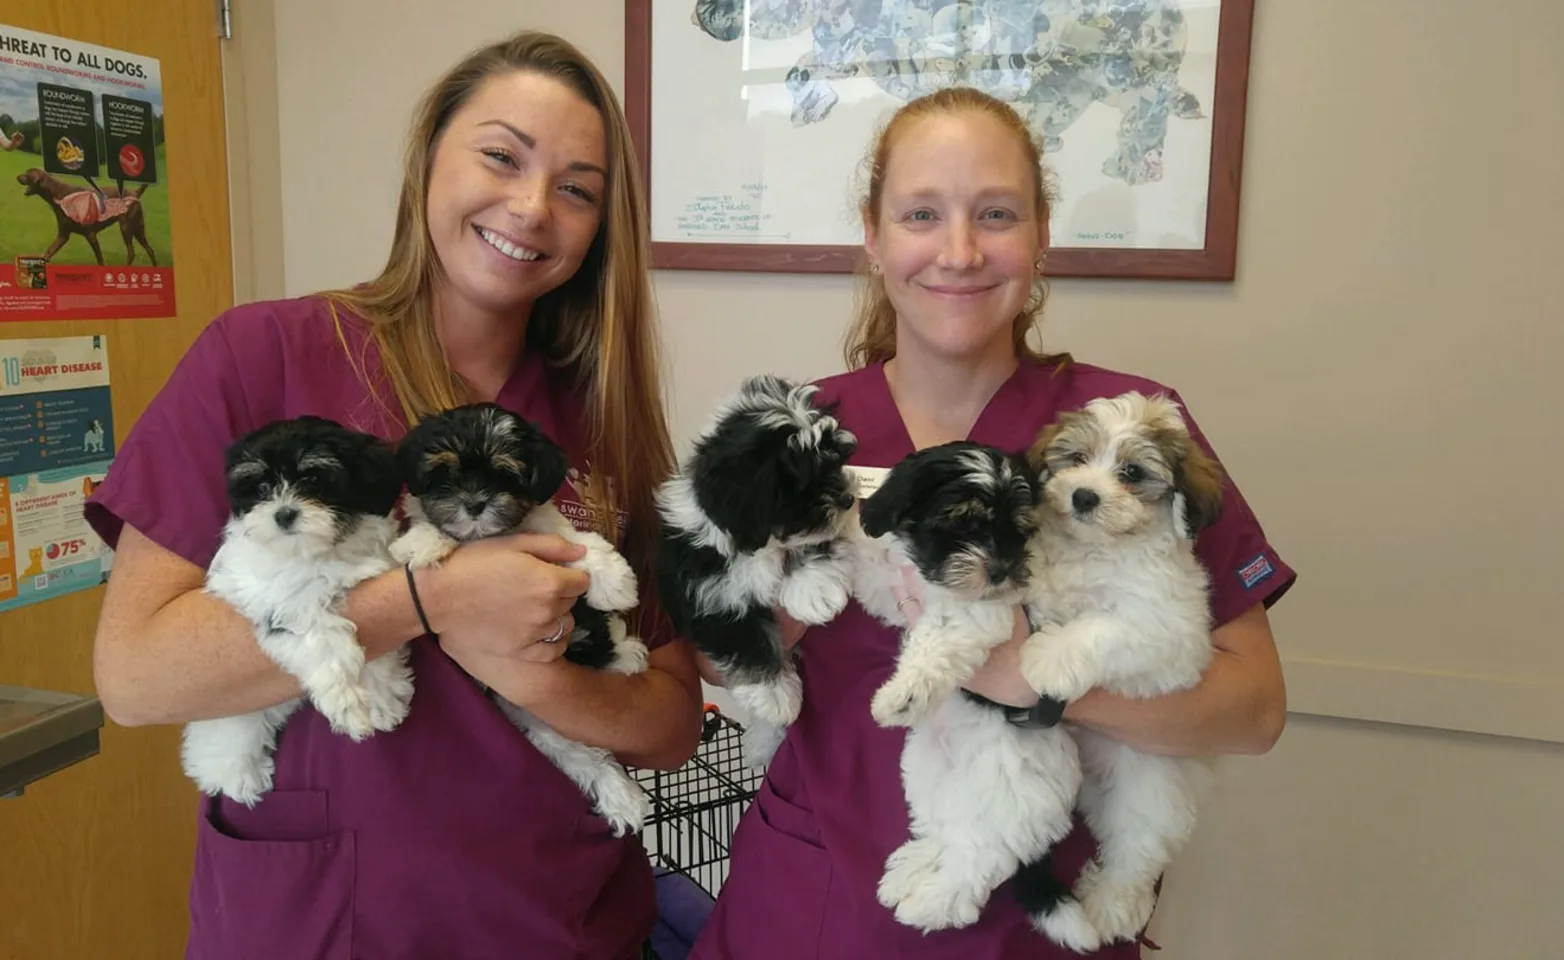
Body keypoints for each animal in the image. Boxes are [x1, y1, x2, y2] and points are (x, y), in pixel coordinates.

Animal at [180, 419, 412, 806]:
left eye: (314, 479)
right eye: (261, 487)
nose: (284, 513)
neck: (321, 552)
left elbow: (381, 649)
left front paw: (383, 699)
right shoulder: (283, 606)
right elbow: (324, 641)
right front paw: (348, 707)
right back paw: (235, 775)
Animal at [397, 403, 653, 838]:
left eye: (505, 474)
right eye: (446, 474)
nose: (474, 504)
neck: (490, 537)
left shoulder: (550, 533)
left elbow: (582, 545)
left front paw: (615, 583)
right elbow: (428, 529)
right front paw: (422, 544)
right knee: (585, 757)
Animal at [653, 376, 863, 766]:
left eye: (835, 463)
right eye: (803, 483)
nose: (847, 499)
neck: (757, 545)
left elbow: (817, 541)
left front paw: (814, 593)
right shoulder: (708, 596)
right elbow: (746, 642)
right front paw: (775, 695)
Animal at [850, 440, 1094, 950]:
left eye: (1019, 530)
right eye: (965, 523)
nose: (1000, 571)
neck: (938, 580)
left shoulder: (984, 615)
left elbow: (938, 640)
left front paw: (901, 696)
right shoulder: (894, 590)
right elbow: (870, 568)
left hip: (1010, 808)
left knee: (978, 865)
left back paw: (932, 903)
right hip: (928, 772)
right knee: (945, 830)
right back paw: (911, 870)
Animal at [1019, 392, 1226, 956]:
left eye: (1132, 472)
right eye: (1076, 458)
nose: (1084, 496)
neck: (1098, 548)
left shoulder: (1170, 633)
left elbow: (1101, 627)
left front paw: (1049, 656)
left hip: (1152, 792)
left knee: (1137, 852)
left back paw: (1112, 903)